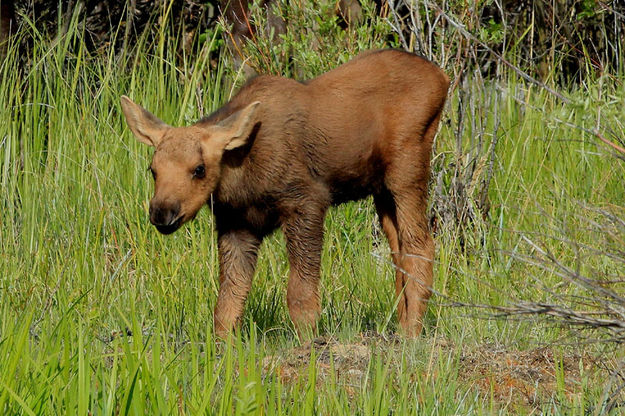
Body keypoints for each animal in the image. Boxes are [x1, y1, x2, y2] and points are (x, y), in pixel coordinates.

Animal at [119, 48, 446, 336]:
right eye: (153, 169)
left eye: (199, 169)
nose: (162, 212)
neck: (241, 171)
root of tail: (442, 78)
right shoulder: (237, 224)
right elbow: (227, 302)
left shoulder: (307, 202)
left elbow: (300, 295)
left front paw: (309, 343)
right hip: (381, 189)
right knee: (398, 249)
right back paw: (401, 327)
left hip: (407, 167)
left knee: (420, 244)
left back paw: (412, 333)